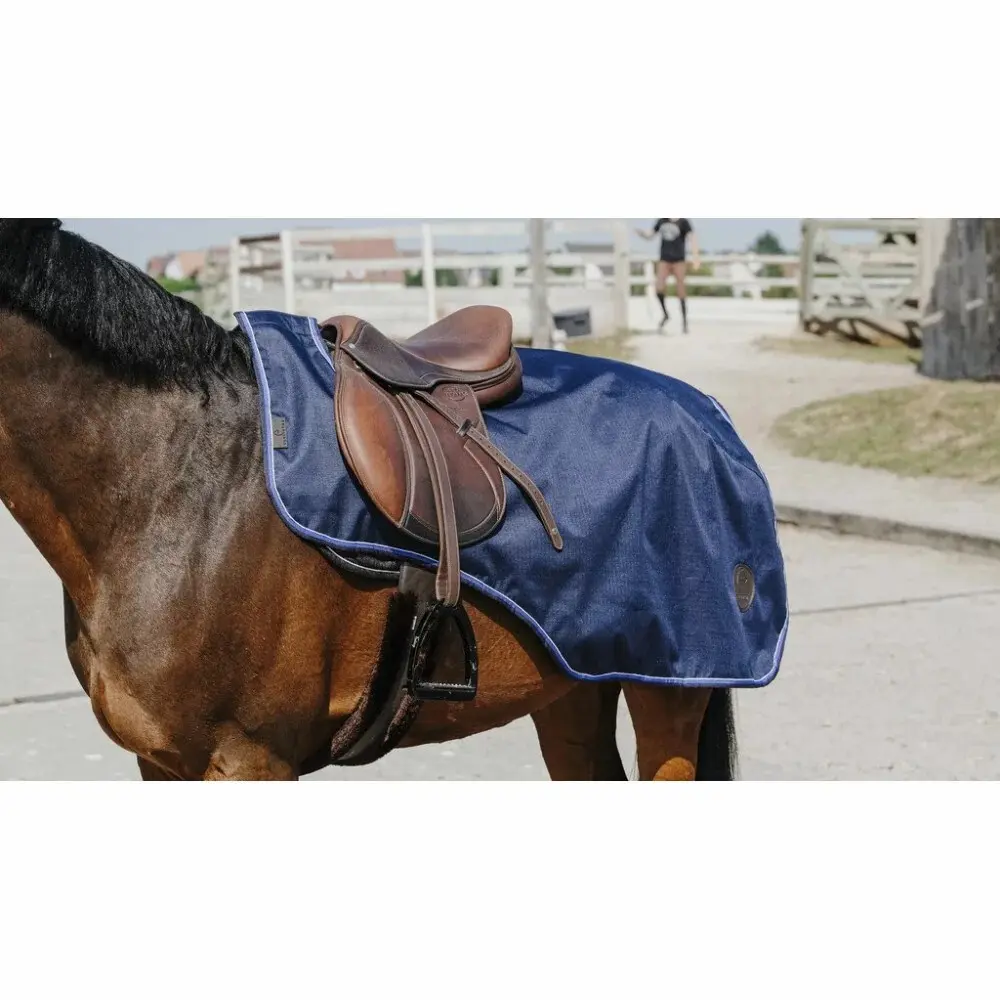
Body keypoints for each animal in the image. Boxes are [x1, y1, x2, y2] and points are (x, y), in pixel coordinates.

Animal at [0, 218, 768, 781]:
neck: (179, 487)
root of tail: (710, 418)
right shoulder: (162, 762)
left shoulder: (250, 759)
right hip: (573, 688)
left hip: (669, 693)